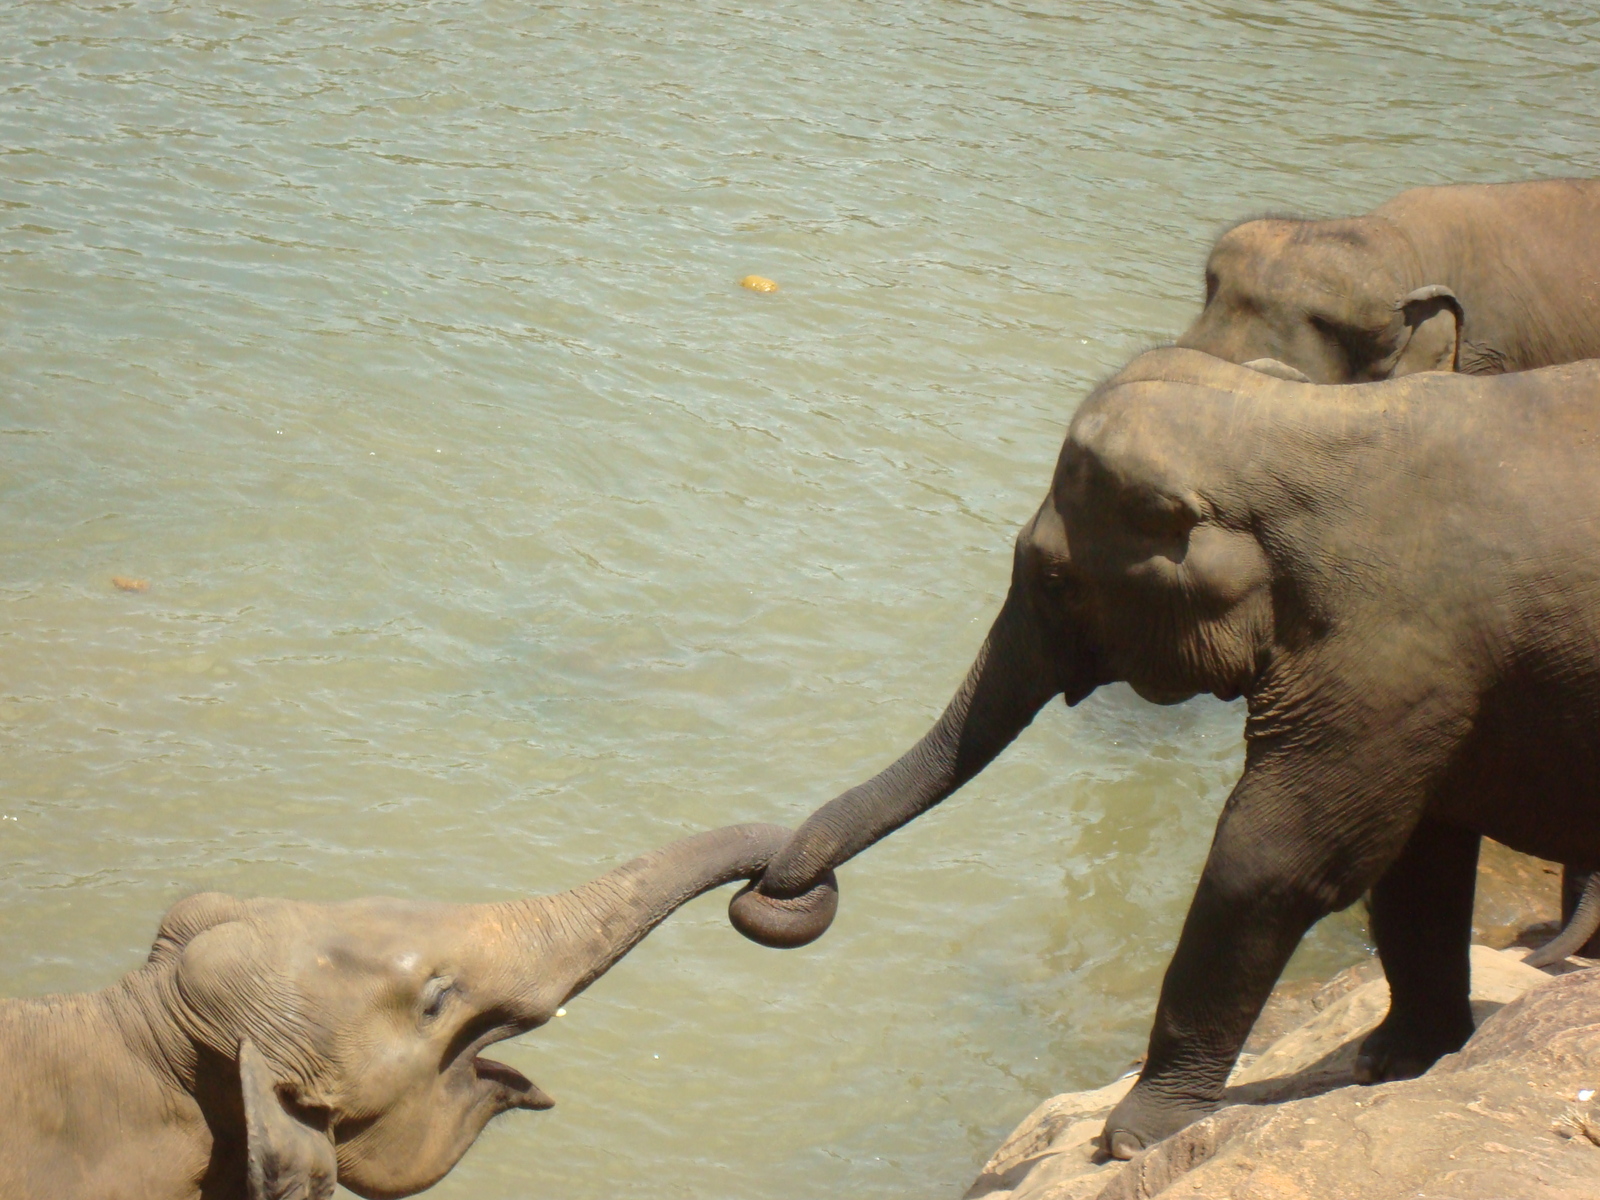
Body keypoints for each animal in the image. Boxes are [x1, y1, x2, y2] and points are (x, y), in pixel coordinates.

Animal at [732, 352, 1600, 1158]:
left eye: (1055, 578)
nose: (773, 882)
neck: (1302, 416)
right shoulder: (1426, 688)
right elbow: (1418, 862)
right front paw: (1392, 1065)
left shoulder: (1386, 655)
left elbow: (1276, 861)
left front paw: (1129, 1140)